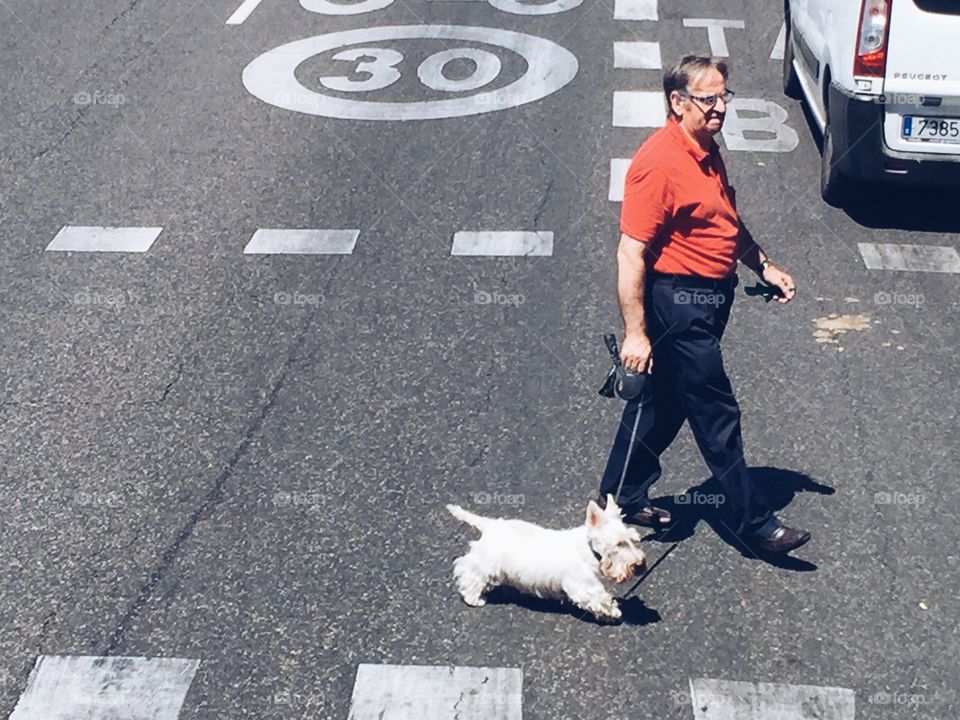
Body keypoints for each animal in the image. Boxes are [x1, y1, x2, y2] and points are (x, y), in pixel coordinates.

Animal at [446, 496, 648, 620]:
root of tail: (489, 525)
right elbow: (600, 599)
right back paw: (475, 599)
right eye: (619, 544)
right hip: (484, 565)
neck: (589, 550)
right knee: (469, 575)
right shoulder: (583, 586)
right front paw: (614, 612)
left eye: (632, 540)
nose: (640, 565)